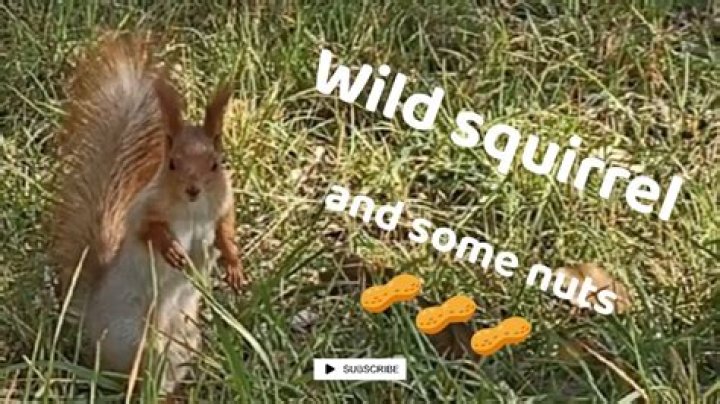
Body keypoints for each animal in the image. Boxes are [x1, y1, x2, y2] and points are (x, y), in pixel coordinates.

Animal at [49, 34, 246, 394]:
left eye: (215, 163)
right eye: (172, 163)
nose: (193, 190)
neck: (192, 211)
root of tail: (89, 318)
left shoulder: (223, 208)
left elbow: (225, 233)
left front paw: (234, 266)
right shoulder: (143, 209)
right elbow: (149, 230)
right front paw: (172, 250)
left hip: (183, 342)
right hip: (141, 342)